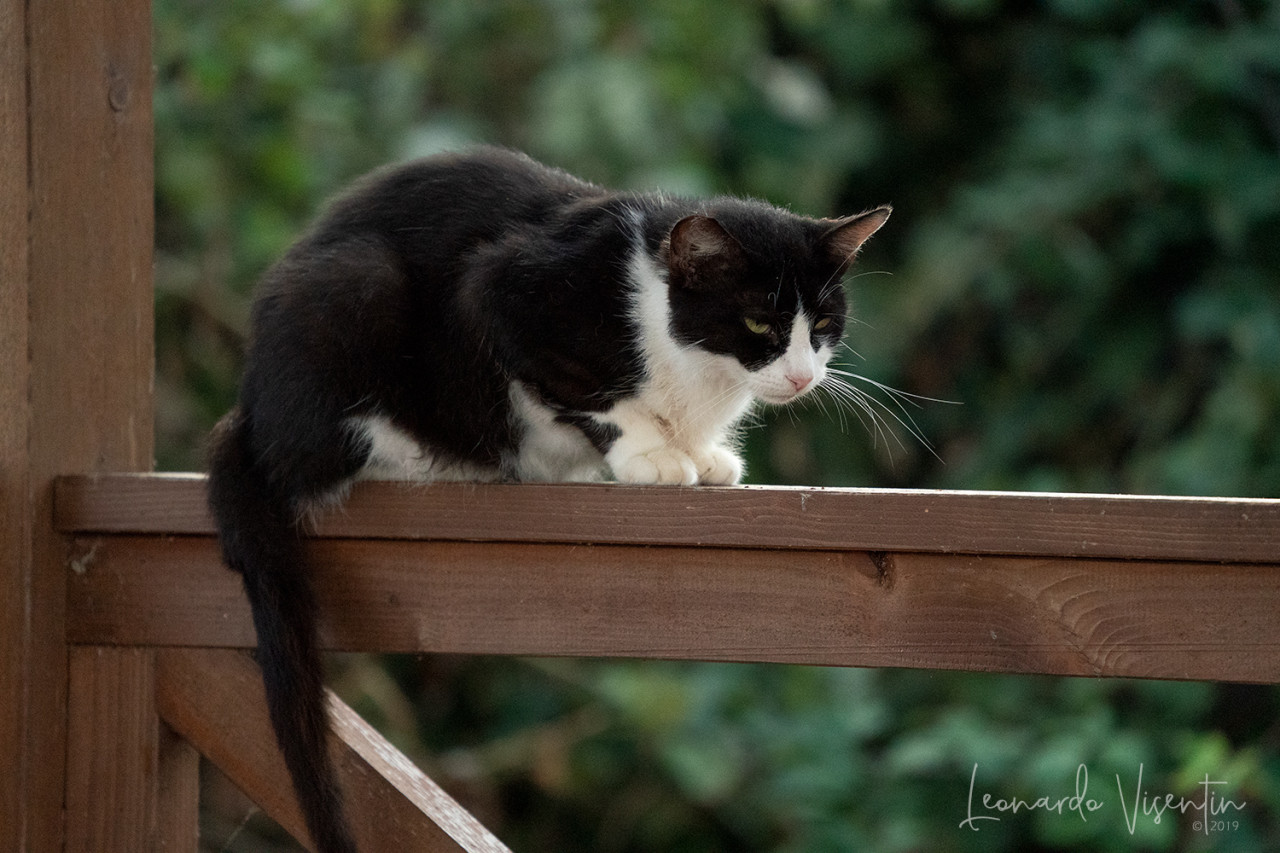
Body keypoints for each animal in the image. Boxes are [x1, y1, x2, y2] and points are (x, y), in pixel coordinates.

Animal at [207, 146, 890, 850]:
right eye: (758, 322)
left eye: (824, 325)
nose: (803, 377)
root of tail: (252, 409)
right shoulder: (510, 291)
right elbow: (588, 389)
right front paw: (649, 452)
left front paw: (704, 455)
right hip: (353, 290)